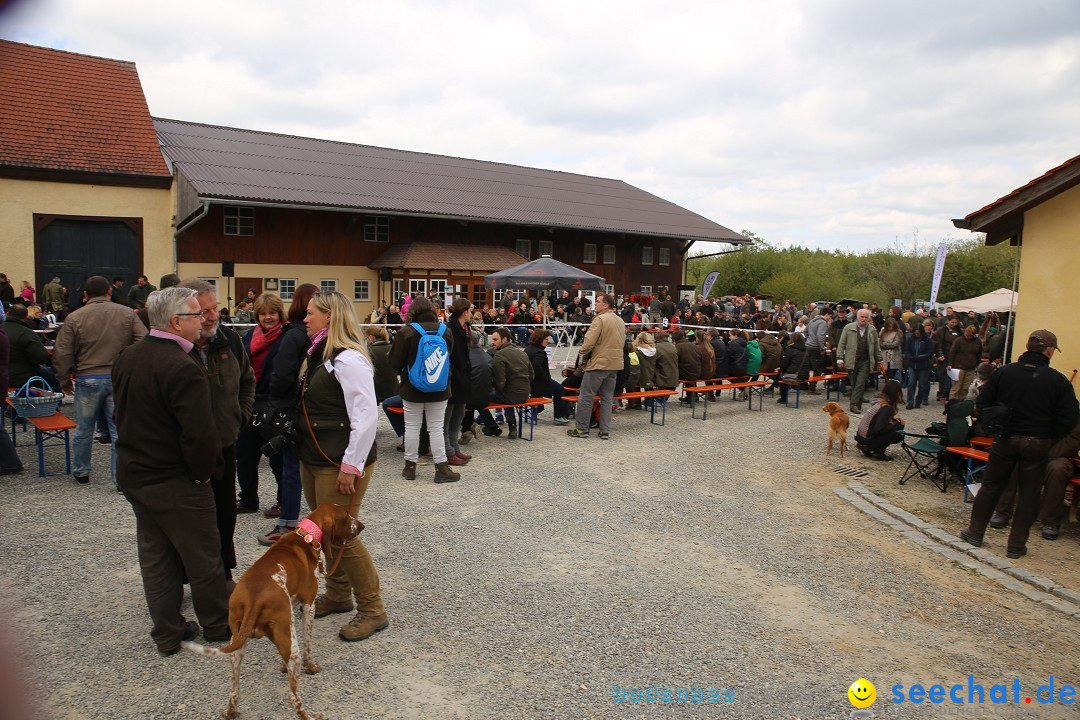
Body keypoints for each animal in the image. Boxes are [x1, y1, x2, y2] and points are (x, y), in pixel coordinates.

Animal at [183, 505, 365, 720]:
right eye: (346, 517)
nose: (361, 525)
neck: (306, 536)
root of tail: (253, 600)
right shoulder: (308, 605)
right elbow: (308, 645)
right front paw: (311, 667)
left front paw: (283, 667)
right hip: (291, 649)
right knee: (293, 696)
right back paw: (310, 715)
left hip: (237, 644)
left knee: (234, 691)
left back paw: (230, 712)